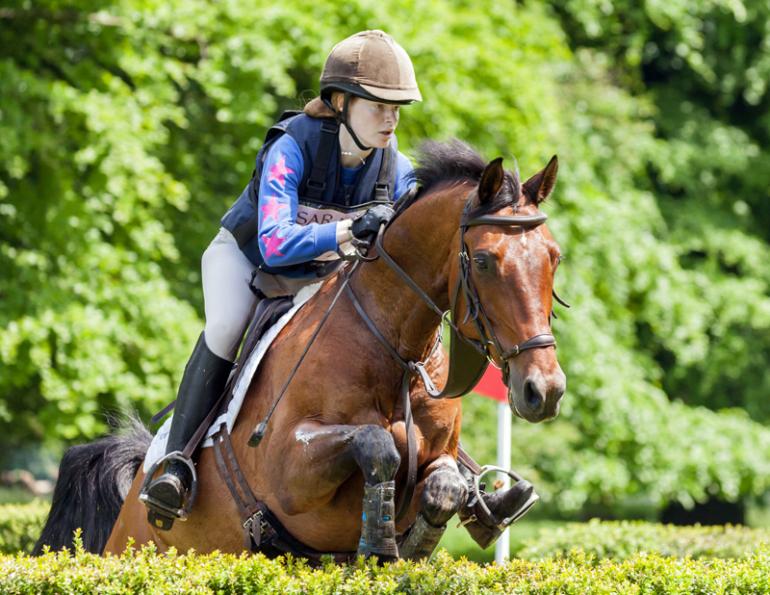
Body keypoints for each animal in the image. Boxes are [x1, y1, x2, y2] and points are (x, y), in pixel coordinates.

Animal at [34, 139, 566, 561]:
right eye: (484, 260)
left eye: (554, 257)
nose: (545, 390)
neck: (393, 346)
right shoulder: (290, 472)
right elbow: (376, 443)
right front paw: (379, 540)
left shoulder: (439, 456)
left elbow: (446, 484)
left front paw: (414, 543)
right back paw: (169, 483)